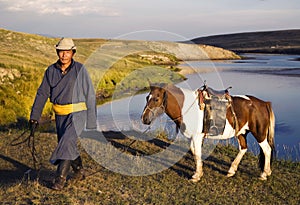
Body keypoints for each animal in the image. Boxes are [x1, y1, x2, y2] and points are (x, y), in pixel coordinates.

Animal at [142, 82, 276, 182]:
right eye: (147, 97)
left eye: (156, 99)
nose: (144, 119)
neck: (187, 107)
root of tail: (264, 104)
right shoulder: (193, 137)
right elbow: (194, 152)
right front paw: (199, 172)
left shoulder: (197, 137)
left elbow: (197, 153)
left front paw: (196, 176)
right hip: (242, 132)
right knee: (243, 148)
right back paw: (231, 170)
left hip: (259, 134)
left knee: (267, 150)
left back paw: (264, 173)